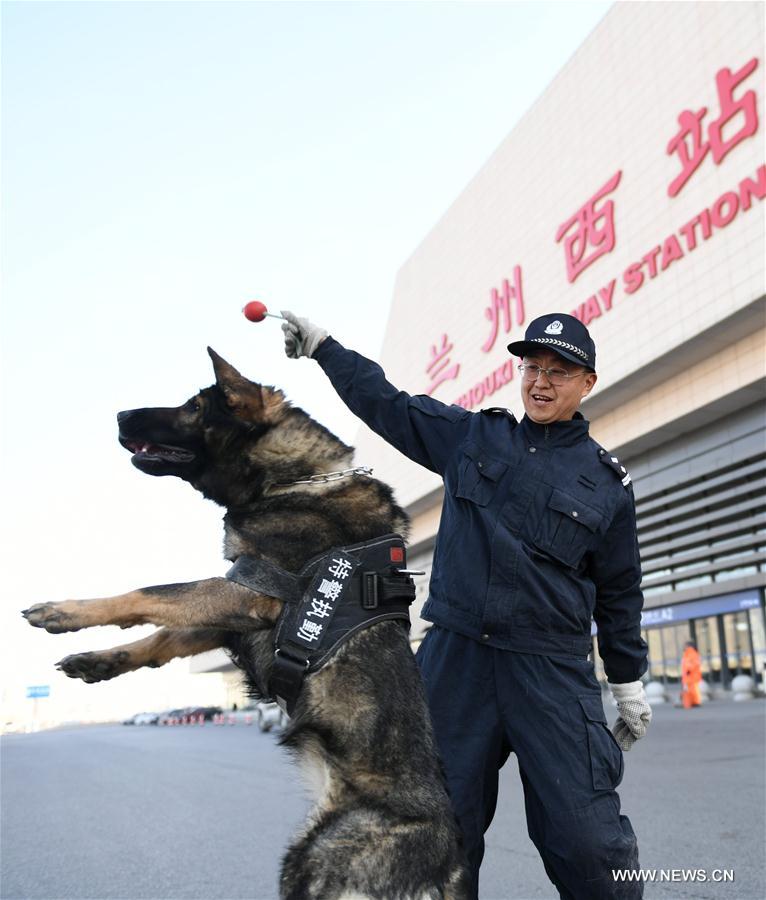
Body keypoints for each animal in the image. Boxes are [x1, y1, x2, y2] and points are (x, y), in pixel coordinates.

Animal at [22, 348, 468, 900]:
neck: (292, 480)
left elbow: (145, 594)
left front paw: (62, 611)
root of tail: (447, 863)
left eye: (194, 407)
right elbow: (159, 638)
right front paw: (96, 662)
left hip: (311, 860)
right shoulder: (228, 615)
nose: (121, 416)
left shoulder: (244, 594)